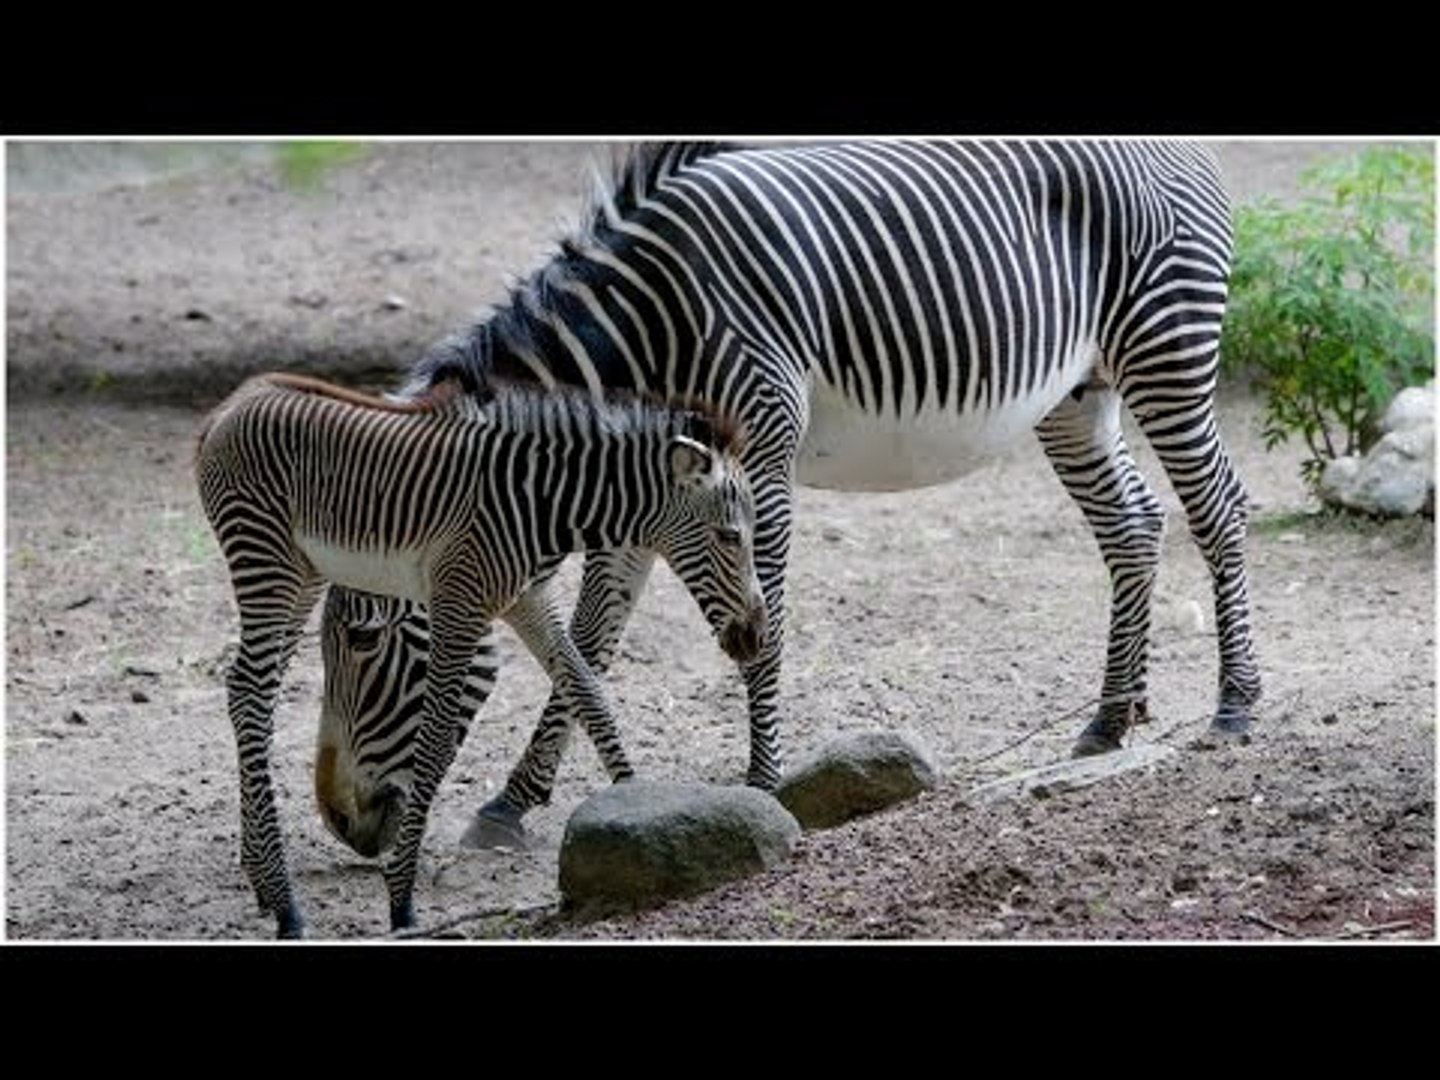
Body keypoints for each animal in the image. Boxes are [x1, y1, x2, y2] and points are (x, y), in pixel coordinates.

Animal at [195, 368, 765, 937]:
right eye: (729, 536)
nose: (754, 637)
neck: (543, 502)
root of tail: (231, 405)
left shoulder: (527, 598)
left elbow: (587, 693)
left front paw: (643, 818)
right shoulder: (460, 604)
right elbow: (433, 741)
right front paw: (401, 899)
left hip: (302, 572)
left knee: (253, 690)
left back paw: (265, 883)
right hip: (265, 558)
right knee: (250, 692)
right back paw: (287, 905)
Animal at [318, 139, 1263, 848]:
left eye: (365, 641)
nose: (340, 824)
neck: (651, 331)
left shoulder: (761, 458)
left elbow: (760, 619)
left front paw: (765, 781)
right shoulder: (638, 488)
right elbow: (589, 643)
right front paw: (512, 803)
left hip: (1166, 347)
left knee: (1218, 506)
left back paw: (1235, 706)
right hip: (1078, 390)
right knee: (1133, 524)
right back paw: (1108, 721)